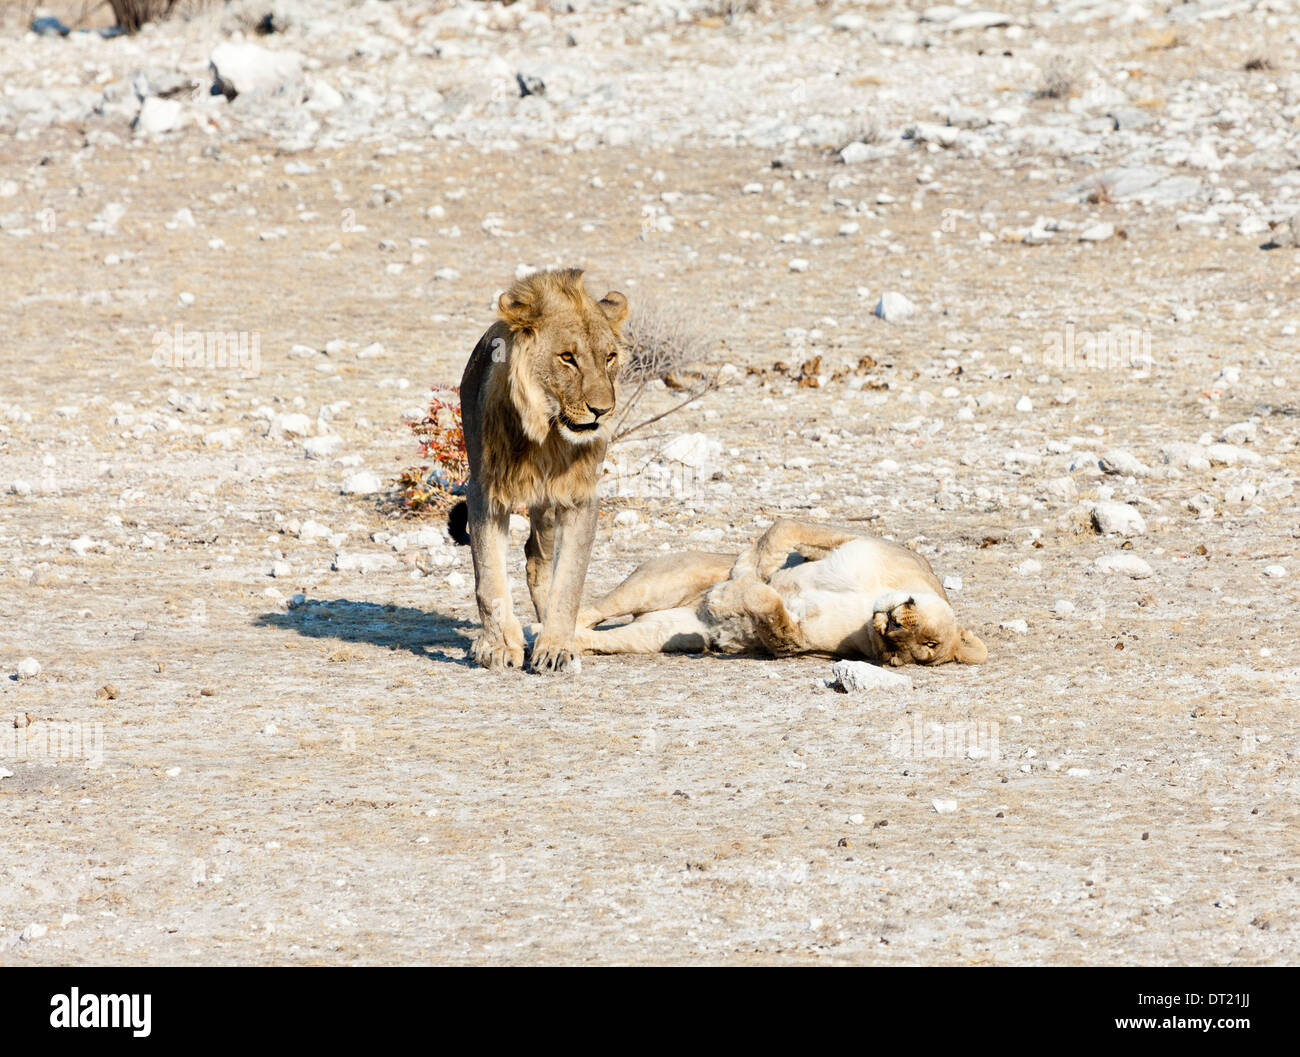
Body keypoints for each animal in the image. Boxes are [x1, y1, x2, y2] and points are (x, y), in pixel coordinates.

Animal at [460, 267, 626, 670]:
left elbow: (569, 581)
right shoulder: (485, 491)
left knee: (539, 559)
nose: (602, 410)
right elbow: (489, 577)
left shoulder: (581, 496)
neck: (547, 434)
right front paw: (499, 646)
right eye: (567, 357)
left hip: (549, 508)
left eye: (610, 357)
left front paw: (555, 647)